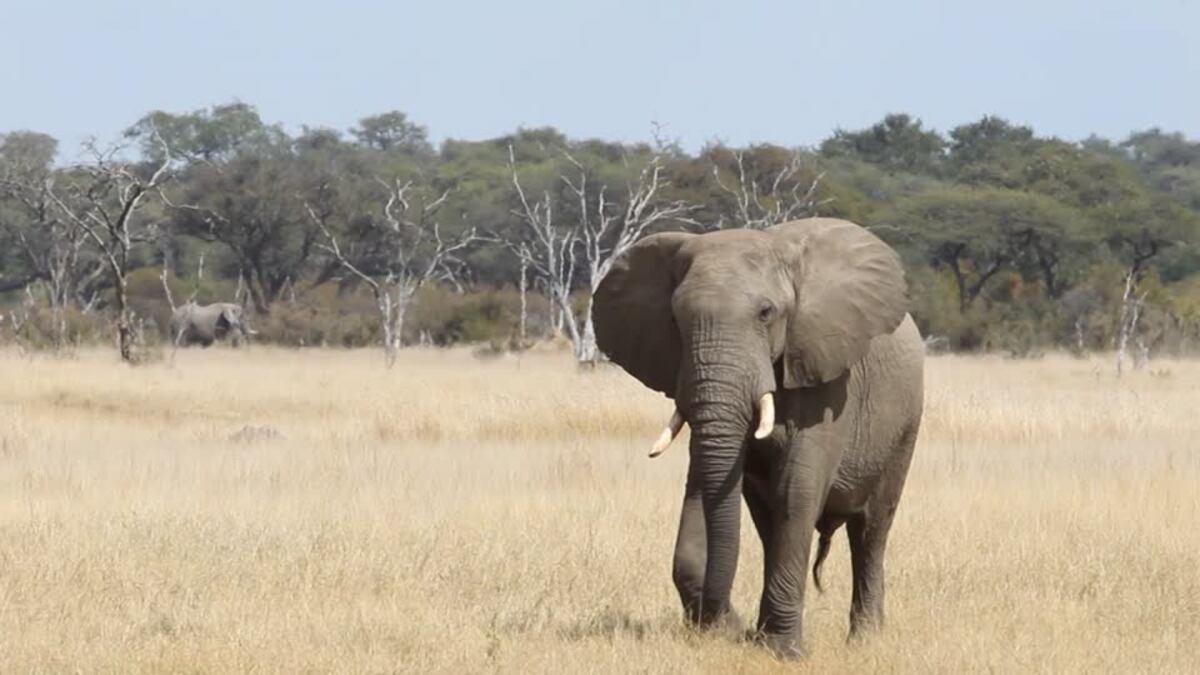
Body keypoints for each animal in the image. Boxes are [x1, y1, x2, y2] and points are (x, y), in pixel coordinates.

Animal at [592, 218, 924, 658]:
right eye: (677, 319)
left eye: (766, 313)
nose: (727, 625)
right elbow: (705, 483)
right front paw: (744, 635)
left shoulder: (828, 379)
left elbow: (795, 491)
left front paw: (784, 653)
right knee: (770, 525)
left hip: (905, 425)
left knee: (871, 530)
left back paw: (864, 641)